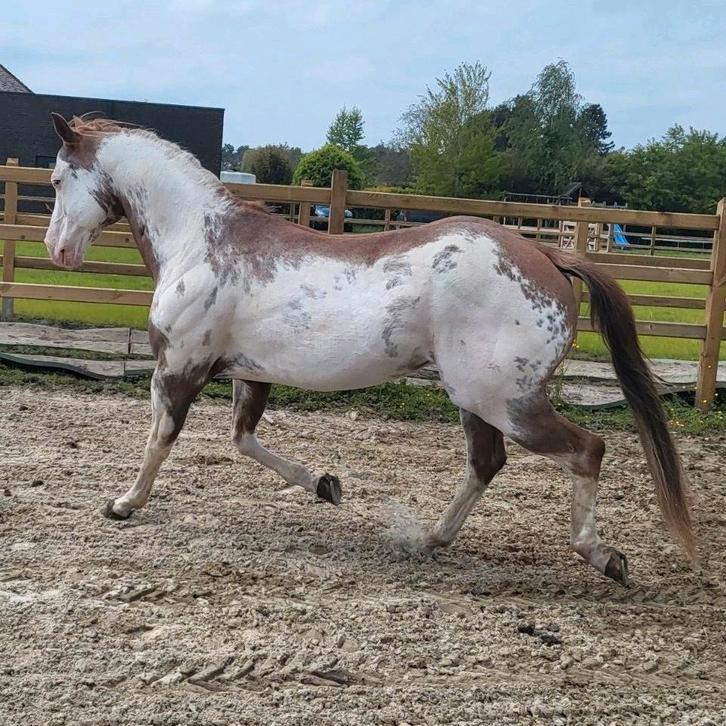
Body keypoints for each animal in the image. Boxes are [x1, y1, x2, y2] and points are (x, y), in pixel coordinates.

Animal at [44, 113, 695, 586]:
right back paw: (430, 539)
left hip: (504, 399)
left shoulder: (179, 366)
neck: (200, 242)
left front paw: (124, 504)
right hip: (476, 399)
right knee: (487, 463)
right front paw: (325, 485)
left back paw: (603, 556)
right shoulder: (248, 372)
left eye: (55, 180)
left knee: (587, 450)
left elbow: (161, 438)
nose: (57, 252)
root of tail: (548, 256)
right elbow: (243, 439)